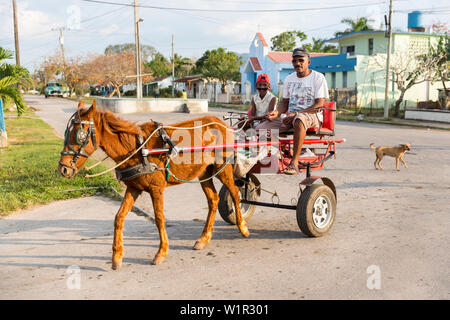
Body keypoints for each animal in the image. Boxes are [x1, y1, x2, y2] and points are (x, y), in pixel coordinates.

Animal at [57, 100, 250, 270]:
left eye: (79, 135)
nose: (63, 168)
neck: (137, 149)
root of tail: (222, 124)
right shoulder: (133, 188)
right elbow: (119, 218)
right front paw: (117, 256)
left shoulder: (156, 189)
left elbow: (159, 218)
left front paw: (161, 252)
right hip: (204, 172)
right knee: (213, 199)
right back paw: (204, 238)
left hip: (222, 168)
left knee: (234, 192)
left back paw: (242, 227)